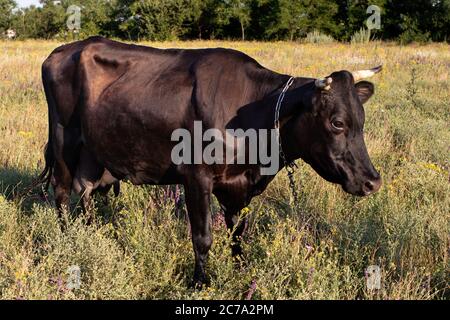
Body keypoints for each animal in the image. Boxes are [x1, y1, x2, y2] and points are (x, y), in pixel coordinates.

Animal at [39, 36, 384, 286]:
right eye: (337, 123)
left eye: (362, 119)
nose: (372, 181)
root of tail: (63, 50)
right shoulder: (196, 177)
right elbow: (202, 236)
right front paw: (200, 283)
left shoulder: (238, 184)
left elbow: (238, 232)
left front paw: (242, 271)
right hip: (63, 139)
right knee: (62, 191)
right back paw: (68, 239)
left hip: (96, 154)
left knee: (87, 190)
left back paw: (92, 233)